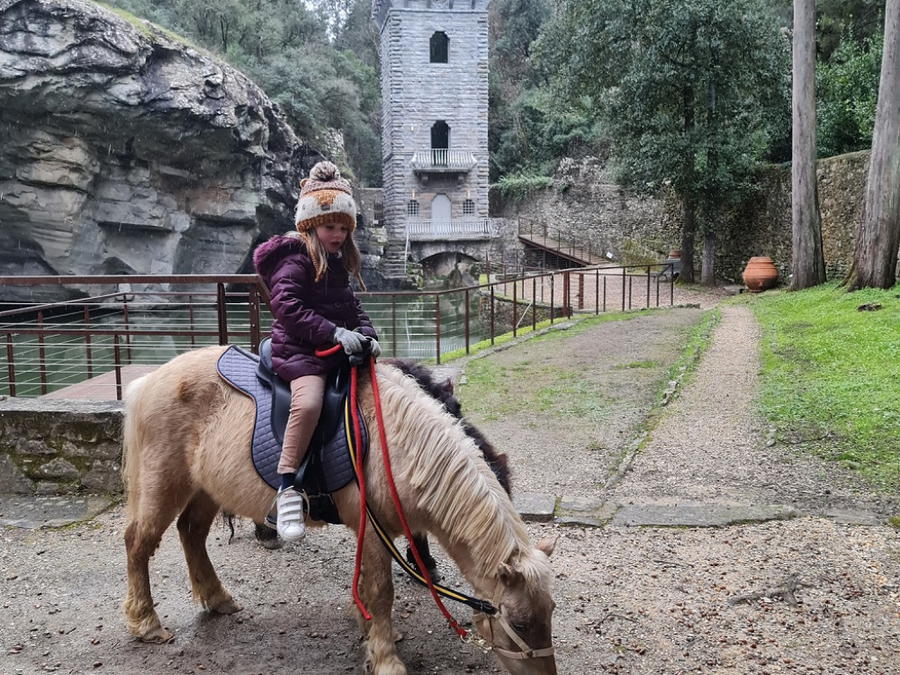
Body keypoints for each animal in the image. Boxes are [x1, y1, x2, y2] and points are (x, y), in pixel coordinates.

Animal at [119, 346, 556, 675]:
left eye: (550, 612)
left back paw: (218, 598)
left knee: (191, 532)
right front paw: (386, 658)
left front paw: (369, 629)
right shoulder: (376, 528)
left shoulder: (373, 528)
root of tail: (148, 381)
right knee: (139, 542)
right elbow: (380, 590)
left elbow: (364, 582)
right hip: (164, 482)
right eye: (520, 624)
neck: (393, 443)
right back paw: (146, 623)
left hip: (206, 486)